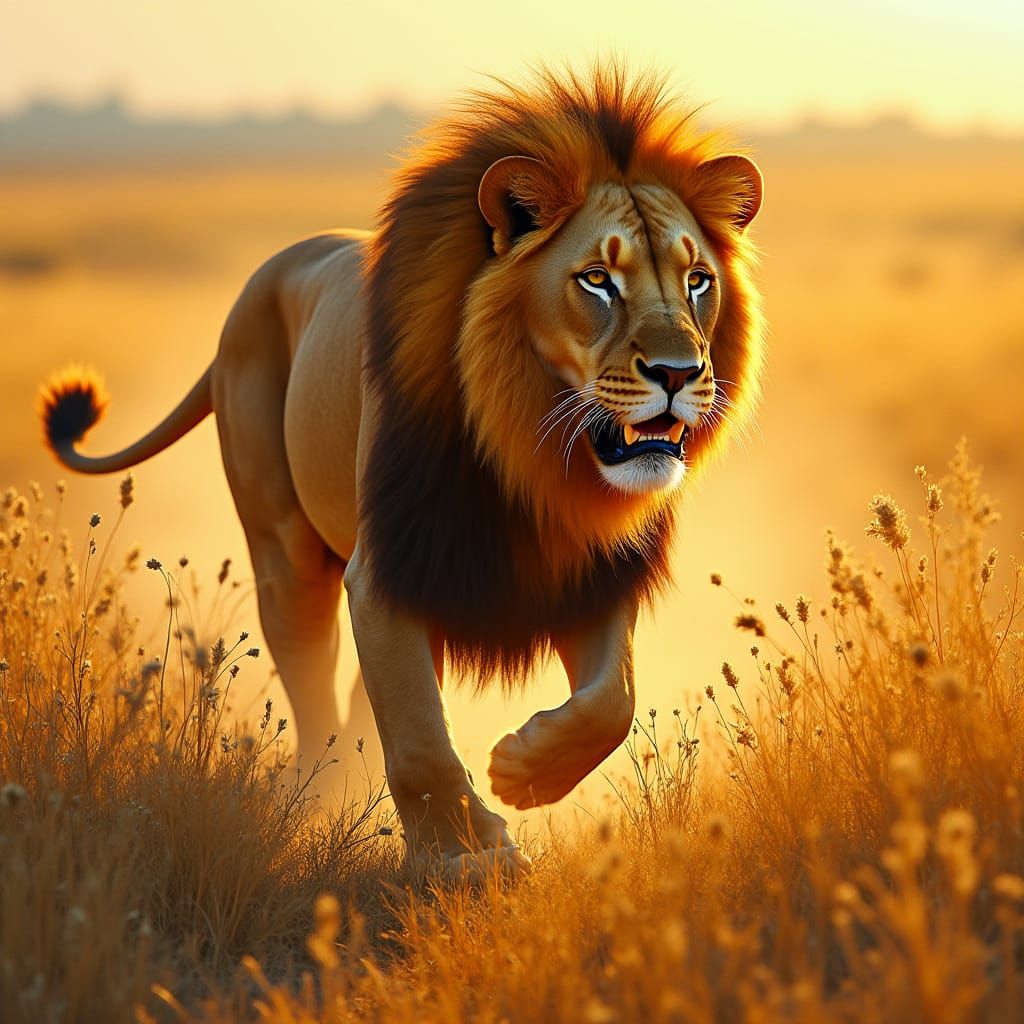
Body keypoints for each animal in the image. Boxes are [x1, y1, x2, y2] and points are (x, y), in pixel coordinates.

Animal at [39, 66, 764, 880]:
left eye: (698, 280)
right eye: (598, 280)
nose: (679, 372)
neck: (532, 457)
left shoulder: (589, 569)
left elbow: (616, 699)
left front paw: (524, 772)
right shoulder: (387, 566)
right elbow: (418, 732)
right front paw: (465, 856)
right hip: (287, 550)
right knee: (314, 695)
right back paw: (317, 792)